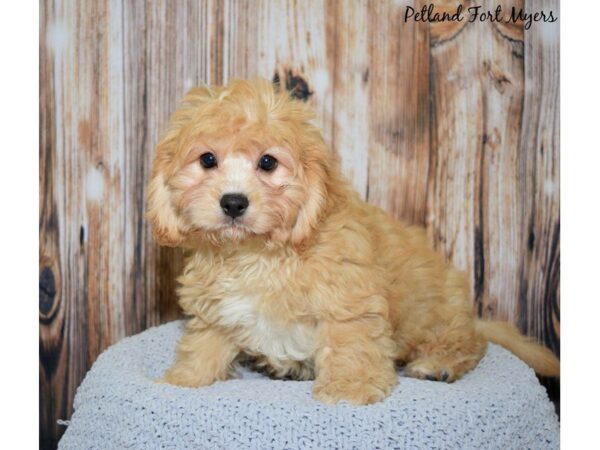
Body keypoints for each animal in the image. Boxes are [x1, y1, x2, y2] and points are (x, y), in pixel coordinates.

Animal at [148, 77, 560, 404]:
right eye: (207, 160)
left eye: (268, 163)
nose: (233, 202)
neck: (258, 254)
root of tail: (472, 317)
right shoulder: (215, 308)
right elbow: (205, 342)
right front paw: (184, 379)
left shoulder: (348, 300)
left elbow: (350, 344)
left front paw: (349, 390)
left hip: (439, 315)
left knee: (469, 343)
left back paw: (437, 364)